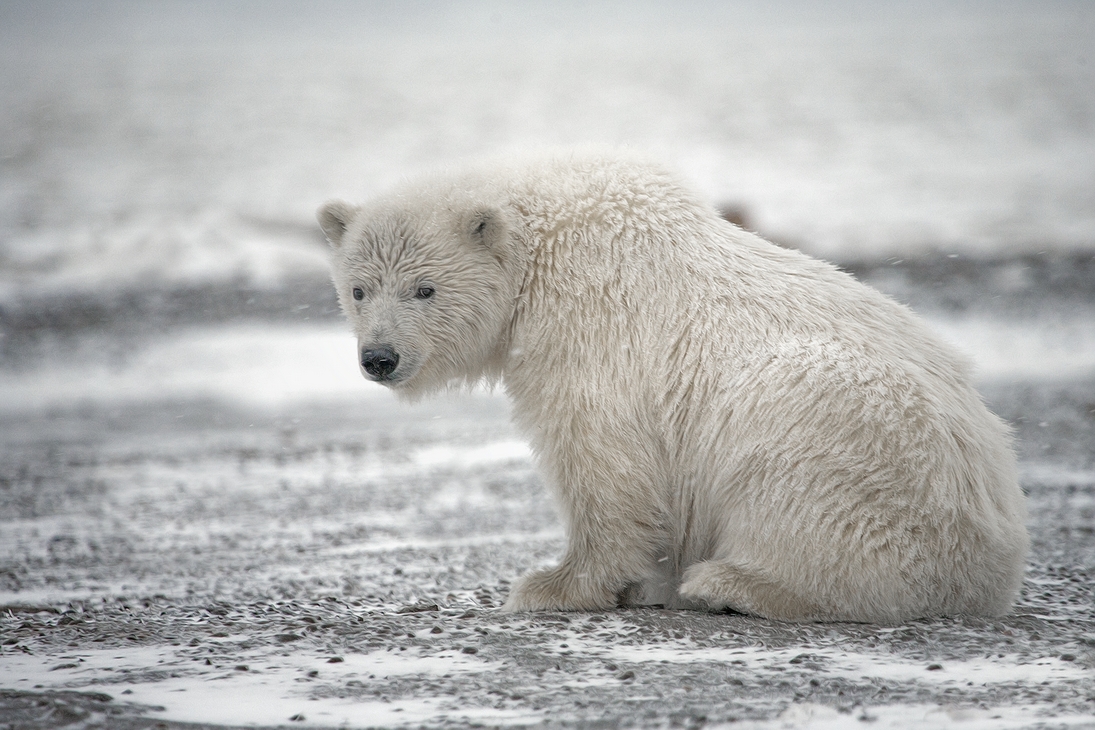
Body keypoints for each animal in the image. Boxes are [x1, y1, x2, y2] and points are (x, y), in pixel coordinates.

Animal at [317, 153, 1024, 621]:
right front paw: (634, 584)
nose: (379, 358)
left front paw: (554, 585)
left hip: (849, 425)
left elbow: (602, 462)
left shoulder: (589, 333)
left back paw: (730, 584)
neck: (542, 253)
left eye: (424, 288)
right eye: (358, 289)